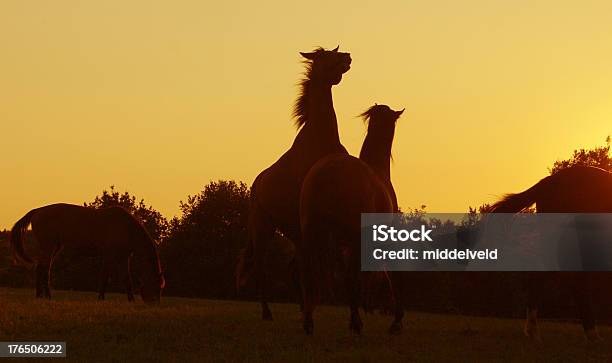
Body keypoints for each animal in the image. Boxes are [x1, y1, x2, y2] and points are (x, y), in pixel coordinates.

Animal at [10, 203, 166, 302]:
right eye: (156, 287)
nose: (154, 303)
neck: (127, 228)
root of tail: (38, 211)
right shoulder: (109, 255)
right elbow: (104, 277)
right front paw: (101, 298)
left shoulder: (123, 258)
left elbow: (126, 279)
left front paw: (131, 300)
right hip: (49, 247)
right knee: (45, 269)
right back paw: (48, 296)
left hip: (54, 247)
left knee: (40, 268)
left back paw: (39, 296)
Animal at [234, 46, 352, 322]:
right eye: (324, 57)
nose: (348, 58)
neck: (322, 139)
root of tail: (256, 186)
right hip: (263, 227)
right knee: (263, 266)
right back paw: (268, 312)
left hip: (292, 230)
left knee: (294, 267)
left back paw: (303, 306)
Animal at [298, 104, 404, 336]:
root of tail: (327, 171)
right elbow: (389, 274)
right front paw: (396, 321)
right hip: (345, 238)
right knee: (348, 276)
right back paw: (356, 322)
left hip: (313, 234)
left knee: (309, 272)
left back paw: (309, 323)